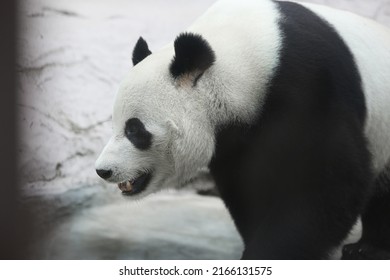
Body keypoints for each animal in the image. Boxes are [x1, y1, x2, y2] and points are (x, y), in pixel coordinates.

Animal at [94, 0, 390, 260]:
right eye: (117, 124)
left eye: (135, 130)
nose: (103, 170)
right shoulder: (235, 139)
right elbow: (247, 187)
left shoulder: (314, 85)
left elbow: (333, 179)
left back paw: (368, 248)